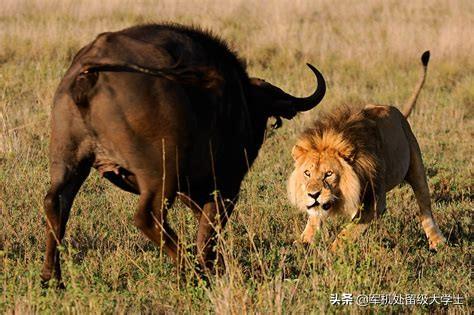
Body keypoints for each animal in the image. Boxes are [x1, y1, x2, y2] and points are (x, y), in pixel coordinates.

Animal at [40, 22, 324, 284]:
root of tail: (88, 73)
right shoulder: (225, 186)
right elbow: (209, 231)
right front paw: (213, 269)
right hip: (161, 174)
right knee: (148, 217)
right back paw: (192, 272)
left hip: (69, 160)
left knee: (55, 203)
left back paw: (52, 278)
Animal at [286, 51, 446, 252]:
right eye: (307, 173)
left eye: (329, 174)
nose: (313, 194)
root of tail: (397, 112)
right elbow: (314, 218)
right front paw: (303, 243)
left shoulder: (375, 202)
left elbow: (348, 232)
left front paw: (332, 252)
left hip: (416, 165)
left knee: (425, 206)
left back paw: (437, 241)